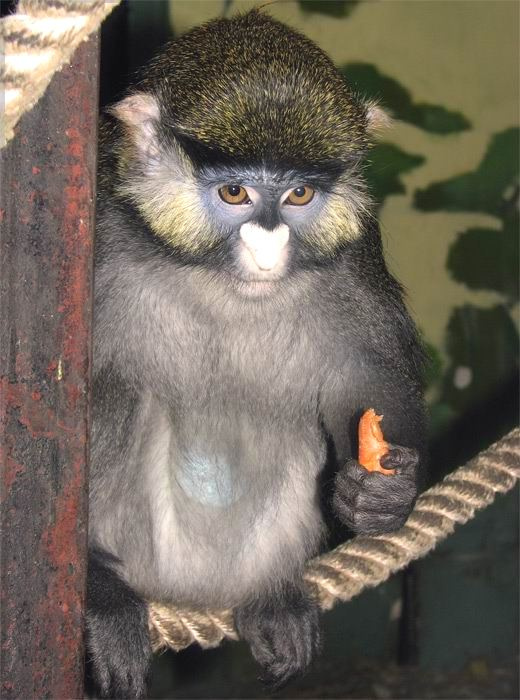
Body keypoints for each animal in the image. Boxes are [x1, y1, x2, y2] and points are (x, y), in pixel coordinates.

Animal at [87, 9, 426, 699]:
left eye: (298, 196)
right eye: (236, 193)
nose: (268, 247)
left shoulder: (356, 256)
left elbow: (368, 382)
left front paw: (384, 498)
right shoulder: (103, 226)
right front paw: (92, 587)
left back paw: (273, 598)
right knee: (118, 389)